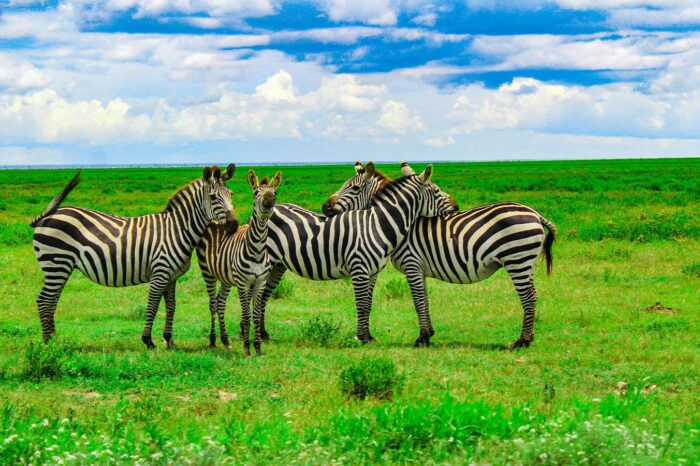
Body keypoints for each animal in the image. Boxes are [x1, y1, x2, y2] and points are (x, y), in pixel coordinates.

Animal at [30, 165, 238, 349]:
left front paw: (169, 341)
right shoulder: (160, 272)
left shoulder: (172, 276)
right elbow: (153, 305)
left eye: (231, 194)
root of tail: (47, 216)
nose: (234, 225)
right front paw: (149, 341)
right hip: (56, 263)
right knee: (44, 301)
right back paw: (48, 344)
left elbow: (171, 306)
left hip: (61, 267)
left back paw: (55, 340)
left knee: (52, 301)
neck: (177, 230)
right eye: (213, 197)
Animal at [196, 170, 283, 356]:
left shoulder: (259, 282)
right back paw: (213, 340)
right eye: (256, 193)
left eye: (275, 193)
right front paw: (247, 348)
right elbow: (246, 315)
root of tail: (215, 220)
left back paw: (225, 341)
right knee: (212, 304)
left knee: (220, 303)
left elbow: (256, 315)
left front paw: (258, 348)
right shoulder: (243, 284)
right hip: (208, 273)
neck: (257, 250)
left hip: (226, 278)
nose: (269, 203)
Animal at [251, 162, 458, 354]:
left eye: (355, 188)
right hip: (269, 262)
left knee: (263, 297)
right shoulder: (359, 268)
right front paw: (362, 337)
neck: (377, 225)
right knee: (259, 296)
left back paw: (264, 334)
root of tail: (274, 207)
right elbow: (361, 303)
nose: (456, 206)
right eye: (436, 190)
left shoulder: (373, 272)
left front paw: (369, 336)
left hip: (278, 265)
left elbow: (368, 303)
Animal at [323, 161, 556, 349]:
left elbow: (418, 300)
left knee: (528, 297)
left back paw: (522, 341)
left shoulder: (412, 263)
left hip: (517, 259)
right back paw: (527, 338)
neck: (394, 222)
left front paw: (422, 338)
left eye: (353, 188)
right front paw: (429, 335)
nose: (325, 207)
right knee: (532, 296)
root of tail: (536, 214)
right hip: (525, 262)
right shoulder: (420, 268)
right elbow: (424, 299)